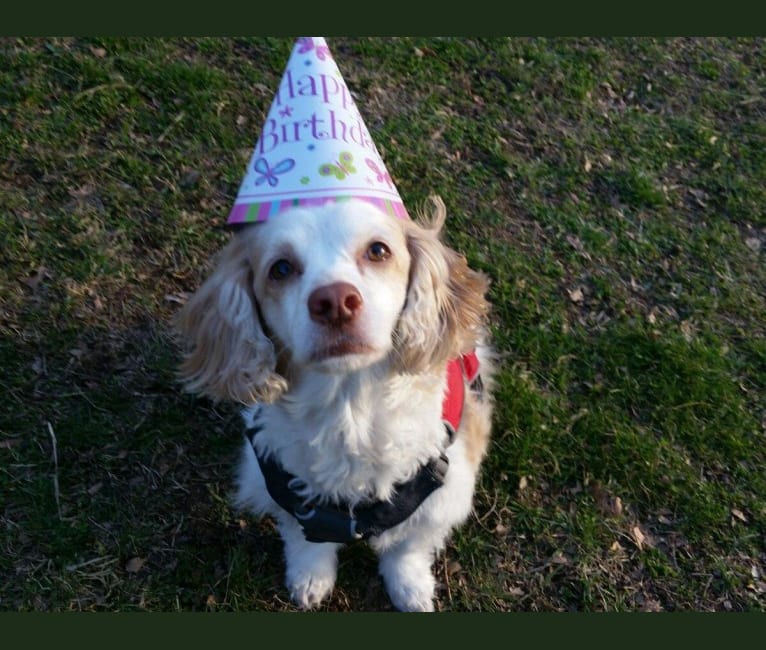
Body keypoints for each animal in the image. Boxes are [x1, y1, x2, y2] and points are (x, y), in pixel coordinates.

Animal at [176, 196, 496, 608]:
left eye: (378, 250)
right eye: (281, 268)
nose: (335, 301)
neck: (348, 408)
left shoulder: (444, 490)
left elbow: (408, 546)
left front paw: (410, 588)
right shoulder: (280, 481)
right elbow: (304, 538)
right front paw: (310, 578)